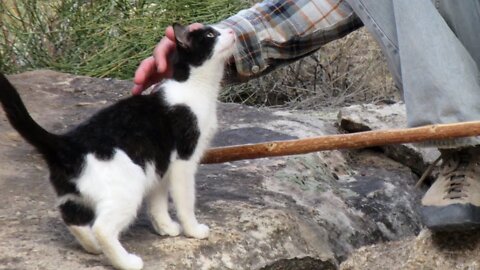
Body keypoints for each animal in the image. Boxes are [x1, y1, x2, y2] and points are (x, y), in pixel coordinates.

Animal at [0, 23, 235, 270]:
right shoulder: (183, 160)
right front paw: (193, 230)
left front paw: (165, 227)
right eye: (211, 34)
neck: (193, 87)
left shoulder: (160, 162)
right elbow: (185, 200)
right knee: (102, 228)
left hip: (76, 192)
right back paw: (127, 261)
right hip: (128, 187)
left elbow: (158, 200)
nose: (231, 31)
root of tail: (67, 143)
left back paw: (93, 247)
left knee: (71, 215)